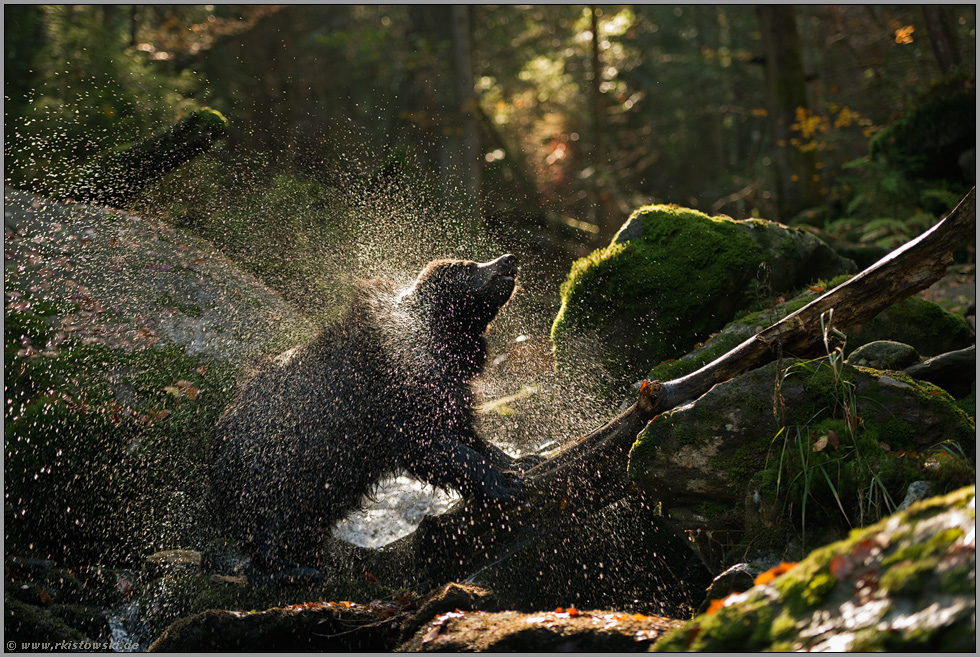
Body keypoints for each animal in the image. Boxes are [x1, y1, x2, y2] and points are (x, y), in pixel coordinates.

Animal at [202, 254, 532, 580]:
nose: (509, 259)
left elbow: (470, 437)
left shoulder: (447, 396)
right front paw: (504, 484)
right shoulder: (395, 403)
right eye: (467, 267)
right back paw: (293, 570)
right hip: (270, 464)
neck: (440, 347)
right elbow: (440, 450)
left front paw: (520, 462)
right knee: (266, 522)